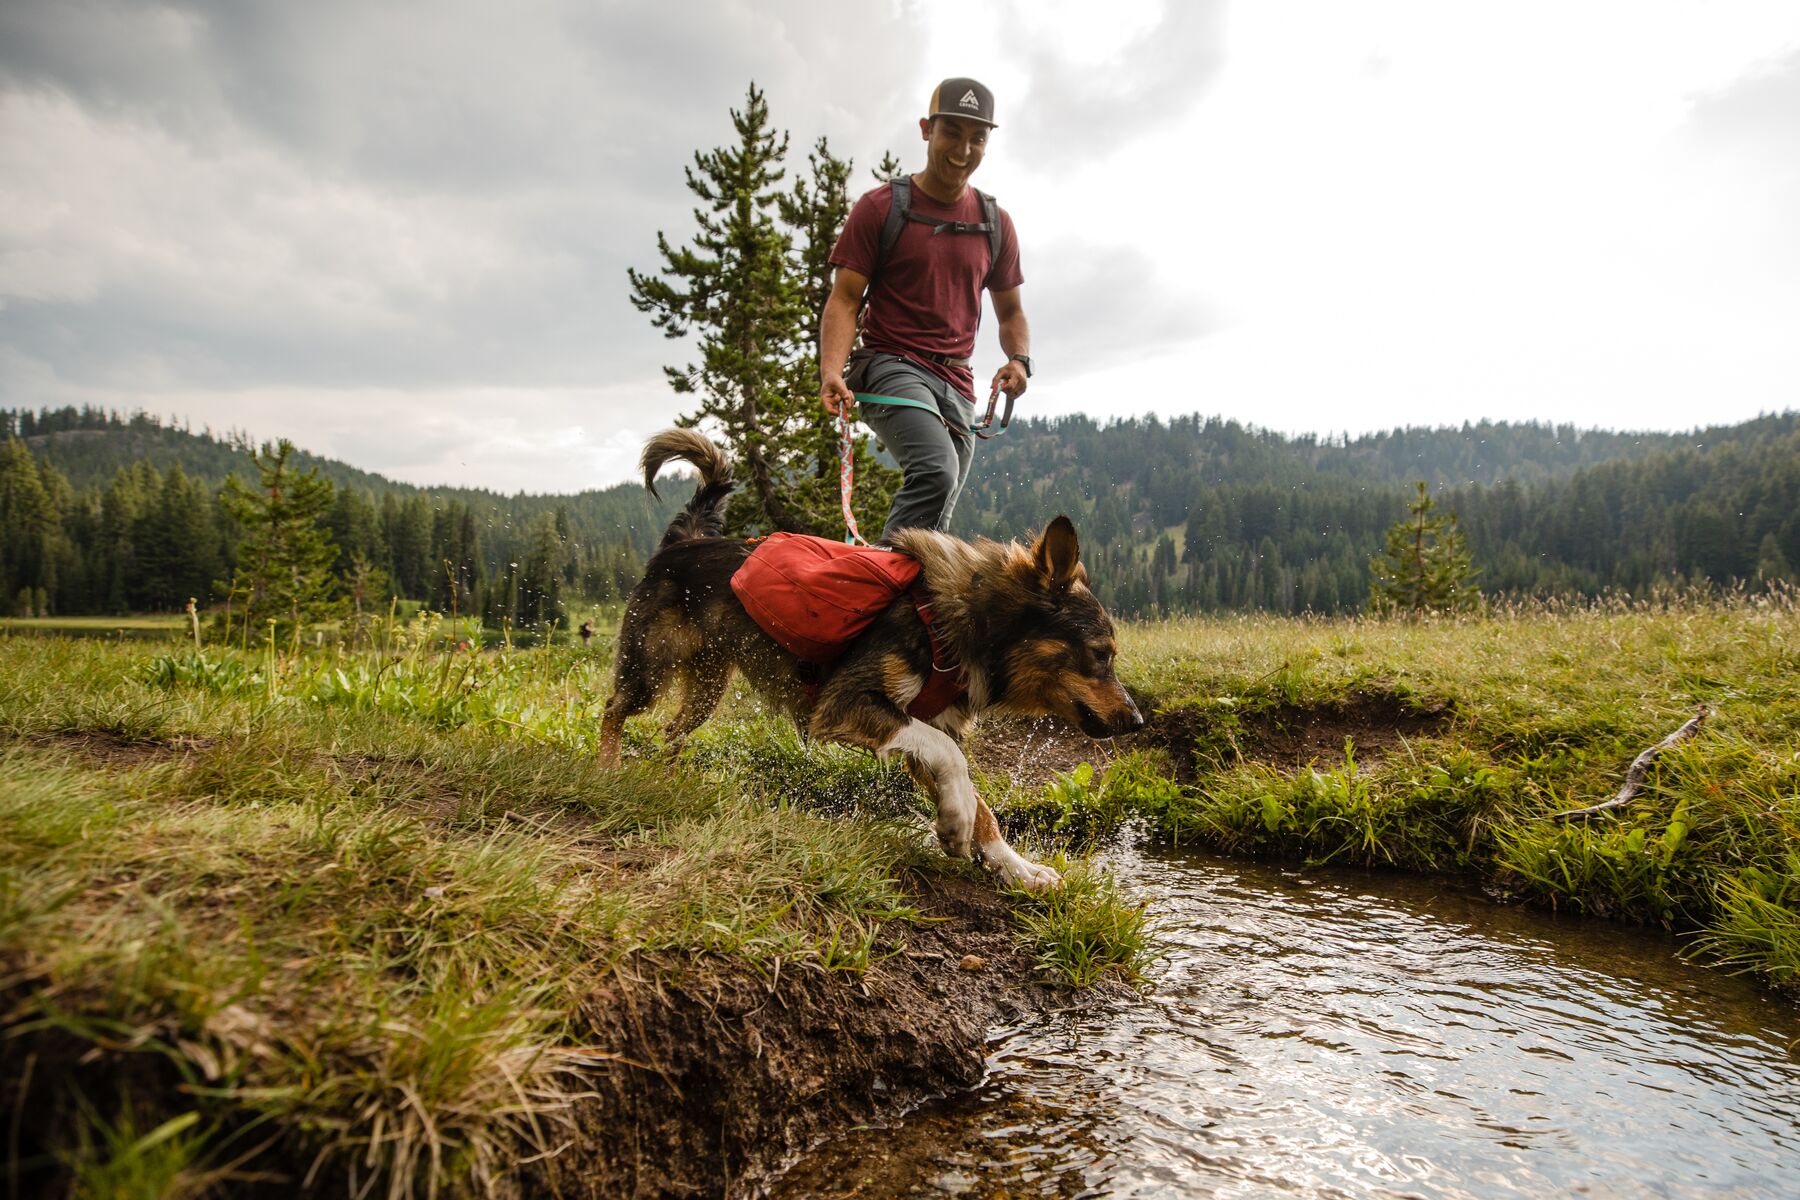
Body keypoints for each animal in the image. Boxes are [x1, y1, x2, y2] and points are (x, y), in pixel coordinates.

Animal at [597, 426, 1144, 888]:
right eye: (1101, 653)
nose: (1136, 720)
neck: (957, 621)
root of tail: (682, 542)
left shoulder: (924, 724)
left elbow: (974, 793)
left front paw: (1014, 866)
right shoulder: (847, 704)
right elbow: (956, 762)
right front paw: (959, 825)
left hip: (708, 687)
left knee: (671, 732)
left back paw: (669, 783)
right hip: (649, 669)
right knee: (613, 709)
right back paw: (608, 770)